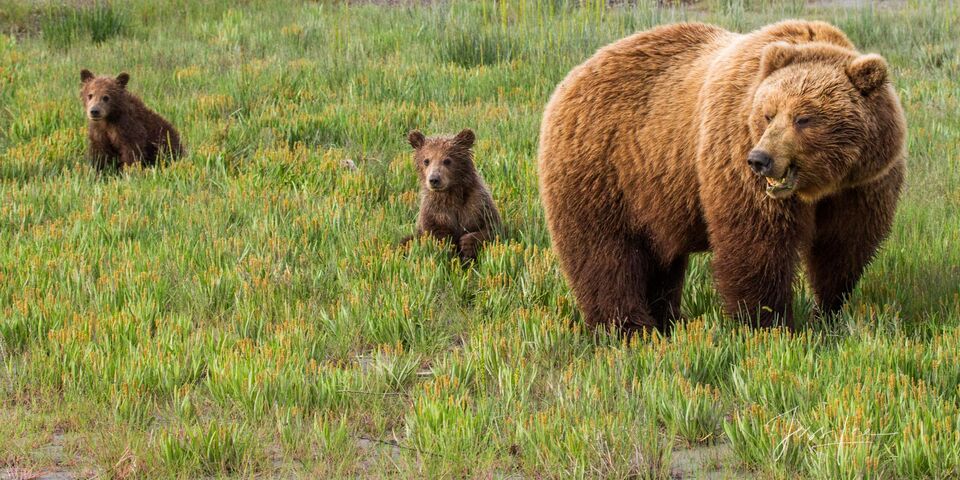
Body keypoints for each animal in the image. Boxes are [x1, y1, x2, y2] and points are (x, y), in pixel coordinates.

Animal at [401, 128, 502, 262]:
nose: (434, 179)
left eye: (447, 160)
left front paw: (466, 245)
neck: (451, 194)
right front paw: (449, 248)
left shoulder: (478, 205)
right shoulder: (434, 212)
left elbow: (492, 229)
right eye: (426, 160)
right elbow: (436, 236)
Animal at [537, 20, 906, 332]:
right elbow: (756, 244)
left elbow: (843, 249)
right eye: (768, 113)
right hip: (603, 171)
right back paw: (628, 327)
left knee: (657, 259)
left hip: (654, 191)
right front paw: (767, 323)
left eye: (804, 118)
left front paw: (827, 313)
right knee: (605, 253)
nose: (760, 159)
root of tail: (572, 76)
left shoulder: (861, 187)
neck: (820, 185)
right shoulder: (736, 152)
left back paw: (666, 320)